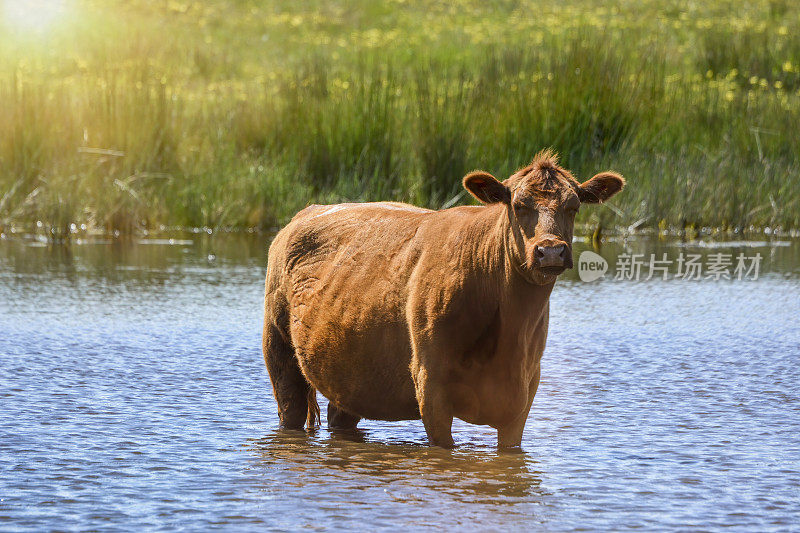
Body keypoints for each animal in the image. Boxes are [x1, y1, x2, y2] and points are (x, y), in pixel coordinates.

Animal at [262, 149, 624, 444]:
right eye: (518, 205)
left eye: (573, 206)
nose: (549, 251)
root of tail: (305, 213)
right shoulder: (431, 384)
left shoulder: (524, 391)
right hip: (278, 347)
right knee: (290, 409)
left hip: (348, 369)